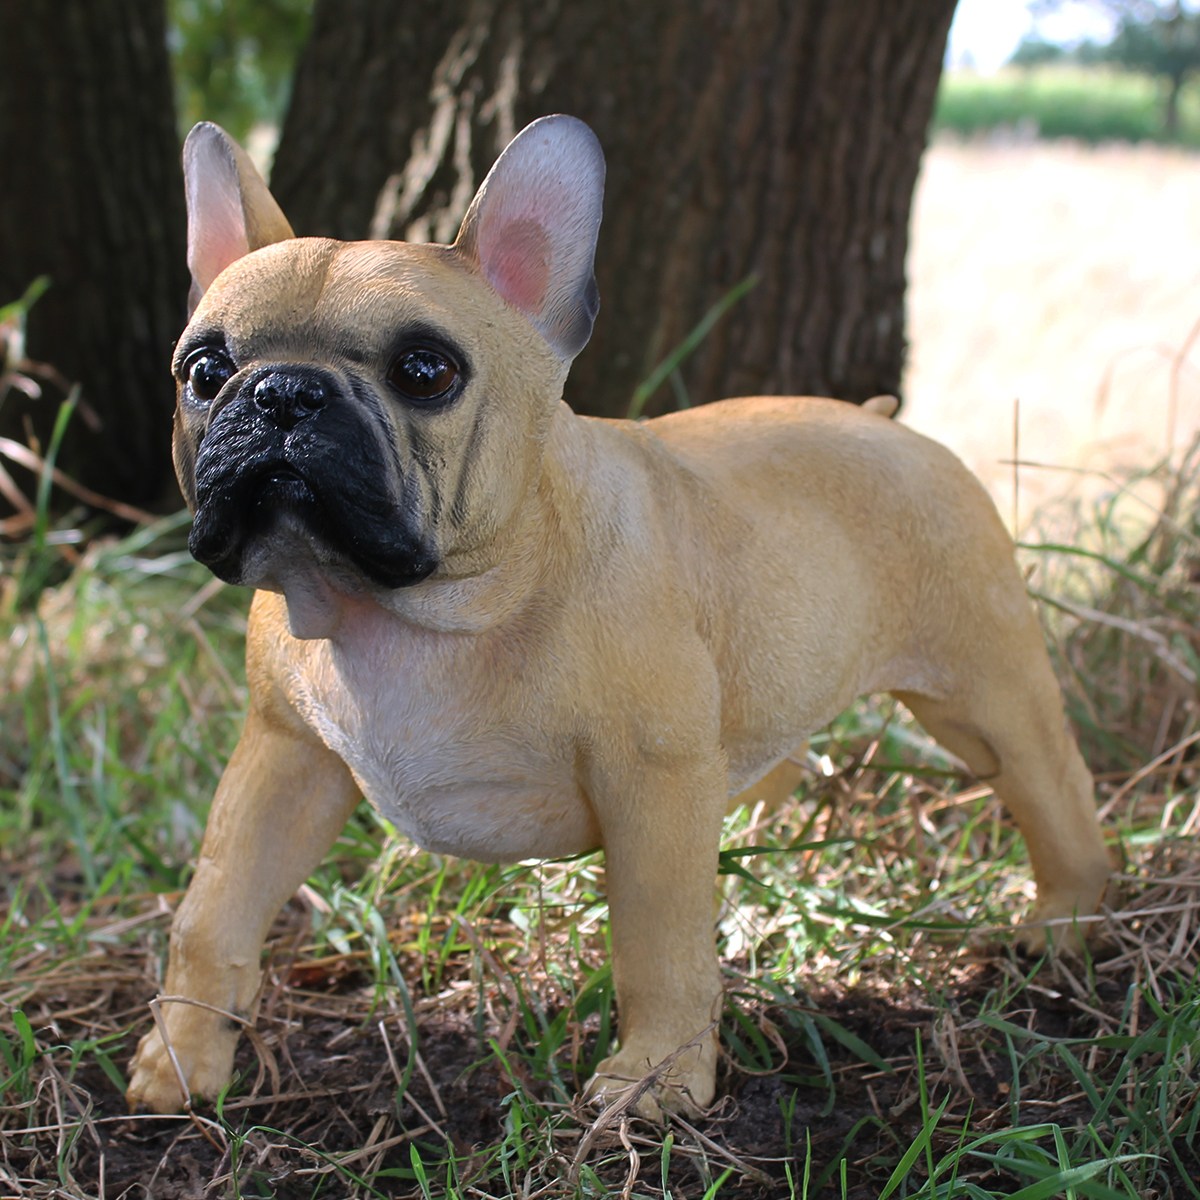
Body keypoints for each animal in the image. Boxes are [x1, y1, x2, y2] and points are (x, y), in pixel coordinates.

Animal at [126, 114, 1108, 1113]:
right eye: (204, 369)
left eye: (425, 371)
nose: (283, 390)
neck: (412, 609)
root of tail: (886, 422)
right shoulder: (284, 760)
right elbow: (214, 914)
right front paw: (180, 1058)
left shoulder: (652, 786)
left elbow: (658, 945)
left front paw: (657, 1081)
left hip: (985, 687)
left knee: (1051, 791)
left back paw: (1062, 926)